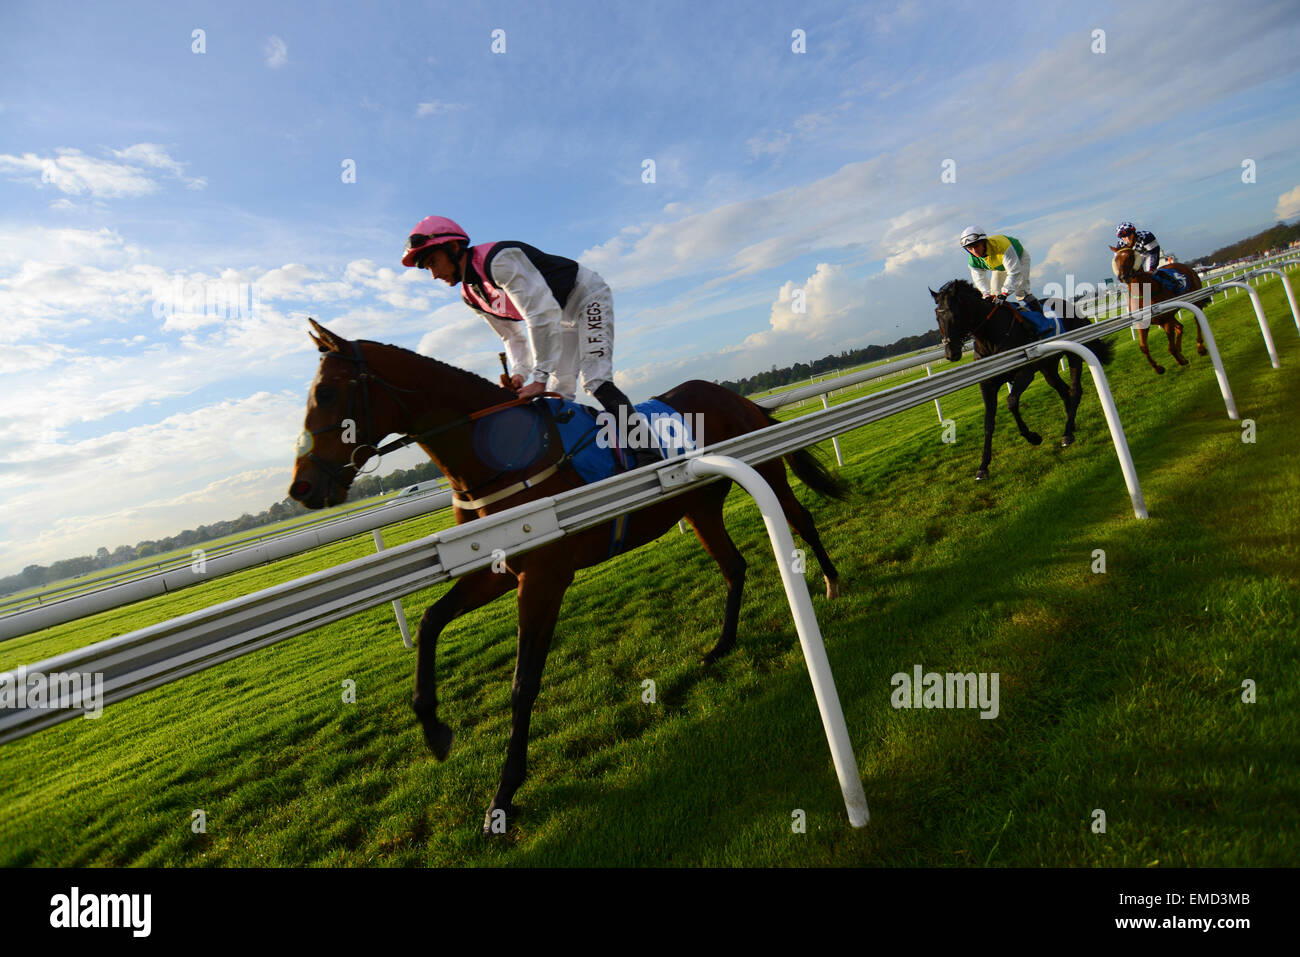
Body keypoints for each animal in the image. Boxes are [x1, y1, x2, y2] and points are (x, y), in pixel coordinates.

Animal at [289, 317, 847, 832]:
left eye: (326, 391)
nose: (302, 487)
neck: (498, 455)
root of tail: (730, 394)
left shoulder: (545, 578)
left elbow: (523, 683)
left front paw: (503, 795)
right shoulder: (495, 567)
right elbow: (429, 621)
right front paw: (434, 727)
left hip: (765, 469)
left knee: (800, 519)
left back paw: (831, 582)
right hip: (700, 507)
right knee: (734, 566)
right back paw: (722, 645)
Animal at [925, 280, 1118, 481]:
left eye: (955, 315)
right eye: (937, 317)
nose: (951, 353)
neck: (991, 338)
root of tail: (1072, 307)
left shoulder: (1025, 372)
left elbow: (1011, 402)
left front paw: (1033, 437)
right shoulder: (987, 384)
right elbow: (988, 422)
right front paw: (983, 466)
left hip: (1072, 353)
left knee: (1074, 390)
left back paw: (1067, 434)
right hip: (1048, 368)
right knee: (1064, 391)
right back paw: (1070, 427)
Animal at [1107, 243, 1206, 374]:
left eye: (1130, 256)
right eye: (1116, 259)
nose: (1122, 277)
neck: (1144, 293)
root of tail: (1187, 267)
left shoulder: (1166, 319)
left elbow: (1171, 348)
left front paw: (1180, 360)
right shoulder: (1144, 323)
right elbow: (1143, 347)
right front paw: (1158, 368)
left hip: (1196, 300)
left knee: (1197, 320)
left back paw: (1200, 348)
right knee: (1180, 327)